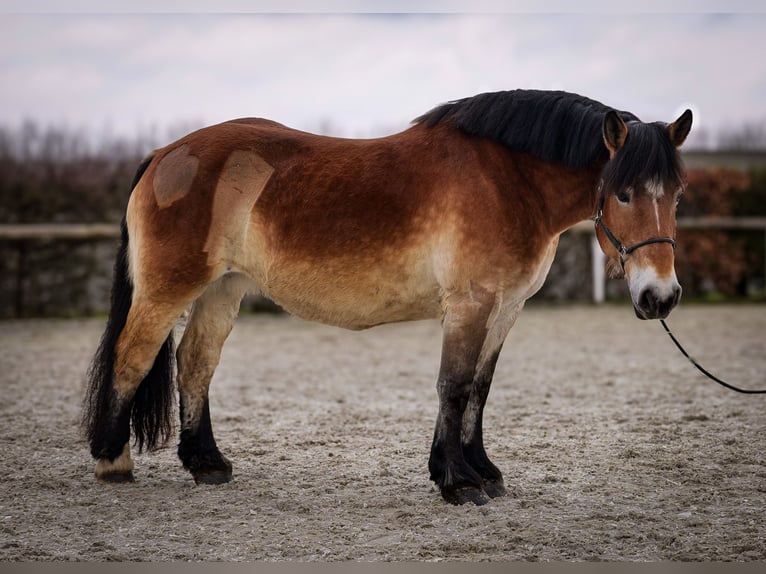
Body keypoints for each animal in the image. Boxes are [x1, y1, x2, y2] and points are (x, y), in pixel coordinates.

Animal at [84, 88, 696, 506]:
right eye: (622, 192)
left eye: (677, 194)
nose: (660, 297)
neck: (508, 180)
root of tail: (165, 154)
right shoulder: (471, 304)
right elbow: (454, 386)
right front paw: (457, 482)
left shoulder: (506, 309)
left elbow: (479, 390)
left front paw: (482, 472)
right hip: (169, 290)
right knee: (132, 357)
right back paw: (113, 462)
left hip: (221, 290)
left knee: (195, 365)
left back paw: (207, 463)